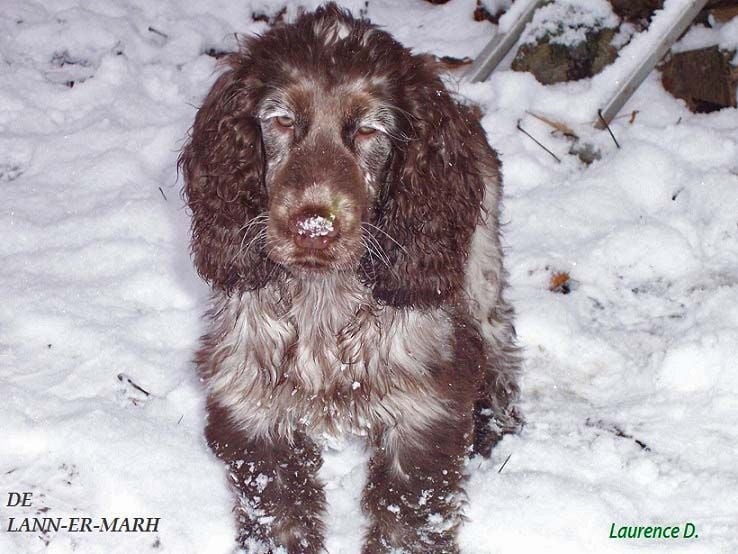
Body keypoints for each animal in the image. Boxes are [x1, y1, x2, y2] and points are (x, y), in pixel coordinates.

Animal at [179, 3, 520, 548]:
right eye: (281, 120)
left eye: (368, 131)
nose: (314, 227)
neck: (324, 299)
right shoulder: (253, 410)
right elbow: (279, 516)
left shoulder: (422, 414)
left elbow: (406, 524)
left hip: (479, 263)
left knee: (498, 339)